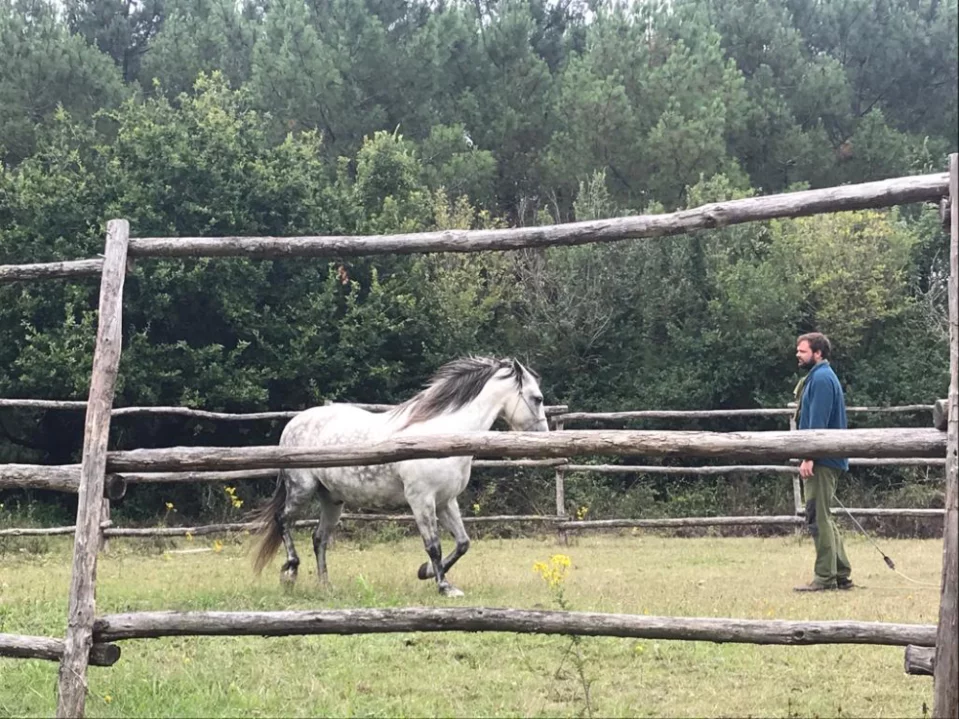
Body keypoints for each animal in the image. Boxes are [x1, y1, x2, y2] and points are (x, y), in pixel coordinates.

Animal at [251, 358, 552, 600]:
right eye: (537, 398)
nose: (544, 438)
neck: (443, 435)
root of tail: (292, 424)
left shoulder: (446, 501)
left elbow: (462, 543)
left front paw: (425, 572)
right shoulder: (422, 500)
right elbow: (434, 545)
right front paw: (444, 586)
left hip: (332, 500)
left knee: (318, 538)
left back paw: (326, 586)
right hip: (301, 488)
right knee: (282, 521)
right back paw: (290, 571)